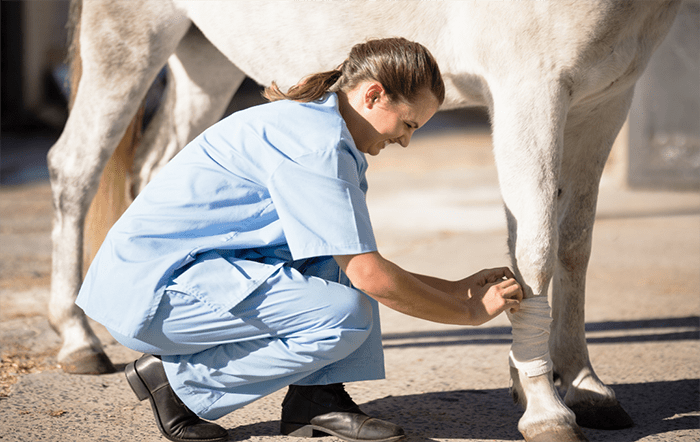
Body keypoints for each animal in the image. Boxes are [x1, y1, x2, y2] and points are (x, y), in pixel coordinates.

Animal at [46, 1, 680, 440]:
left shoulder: (605, 100)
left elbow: (574, 245)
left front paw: (584, 387)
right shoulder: (531, 89)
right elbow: (536, 250)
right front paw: (545, 408)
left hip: (203, 58)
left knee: (159, 167)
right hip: (128, 39)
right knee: (74, 166)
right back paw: (78, 339)